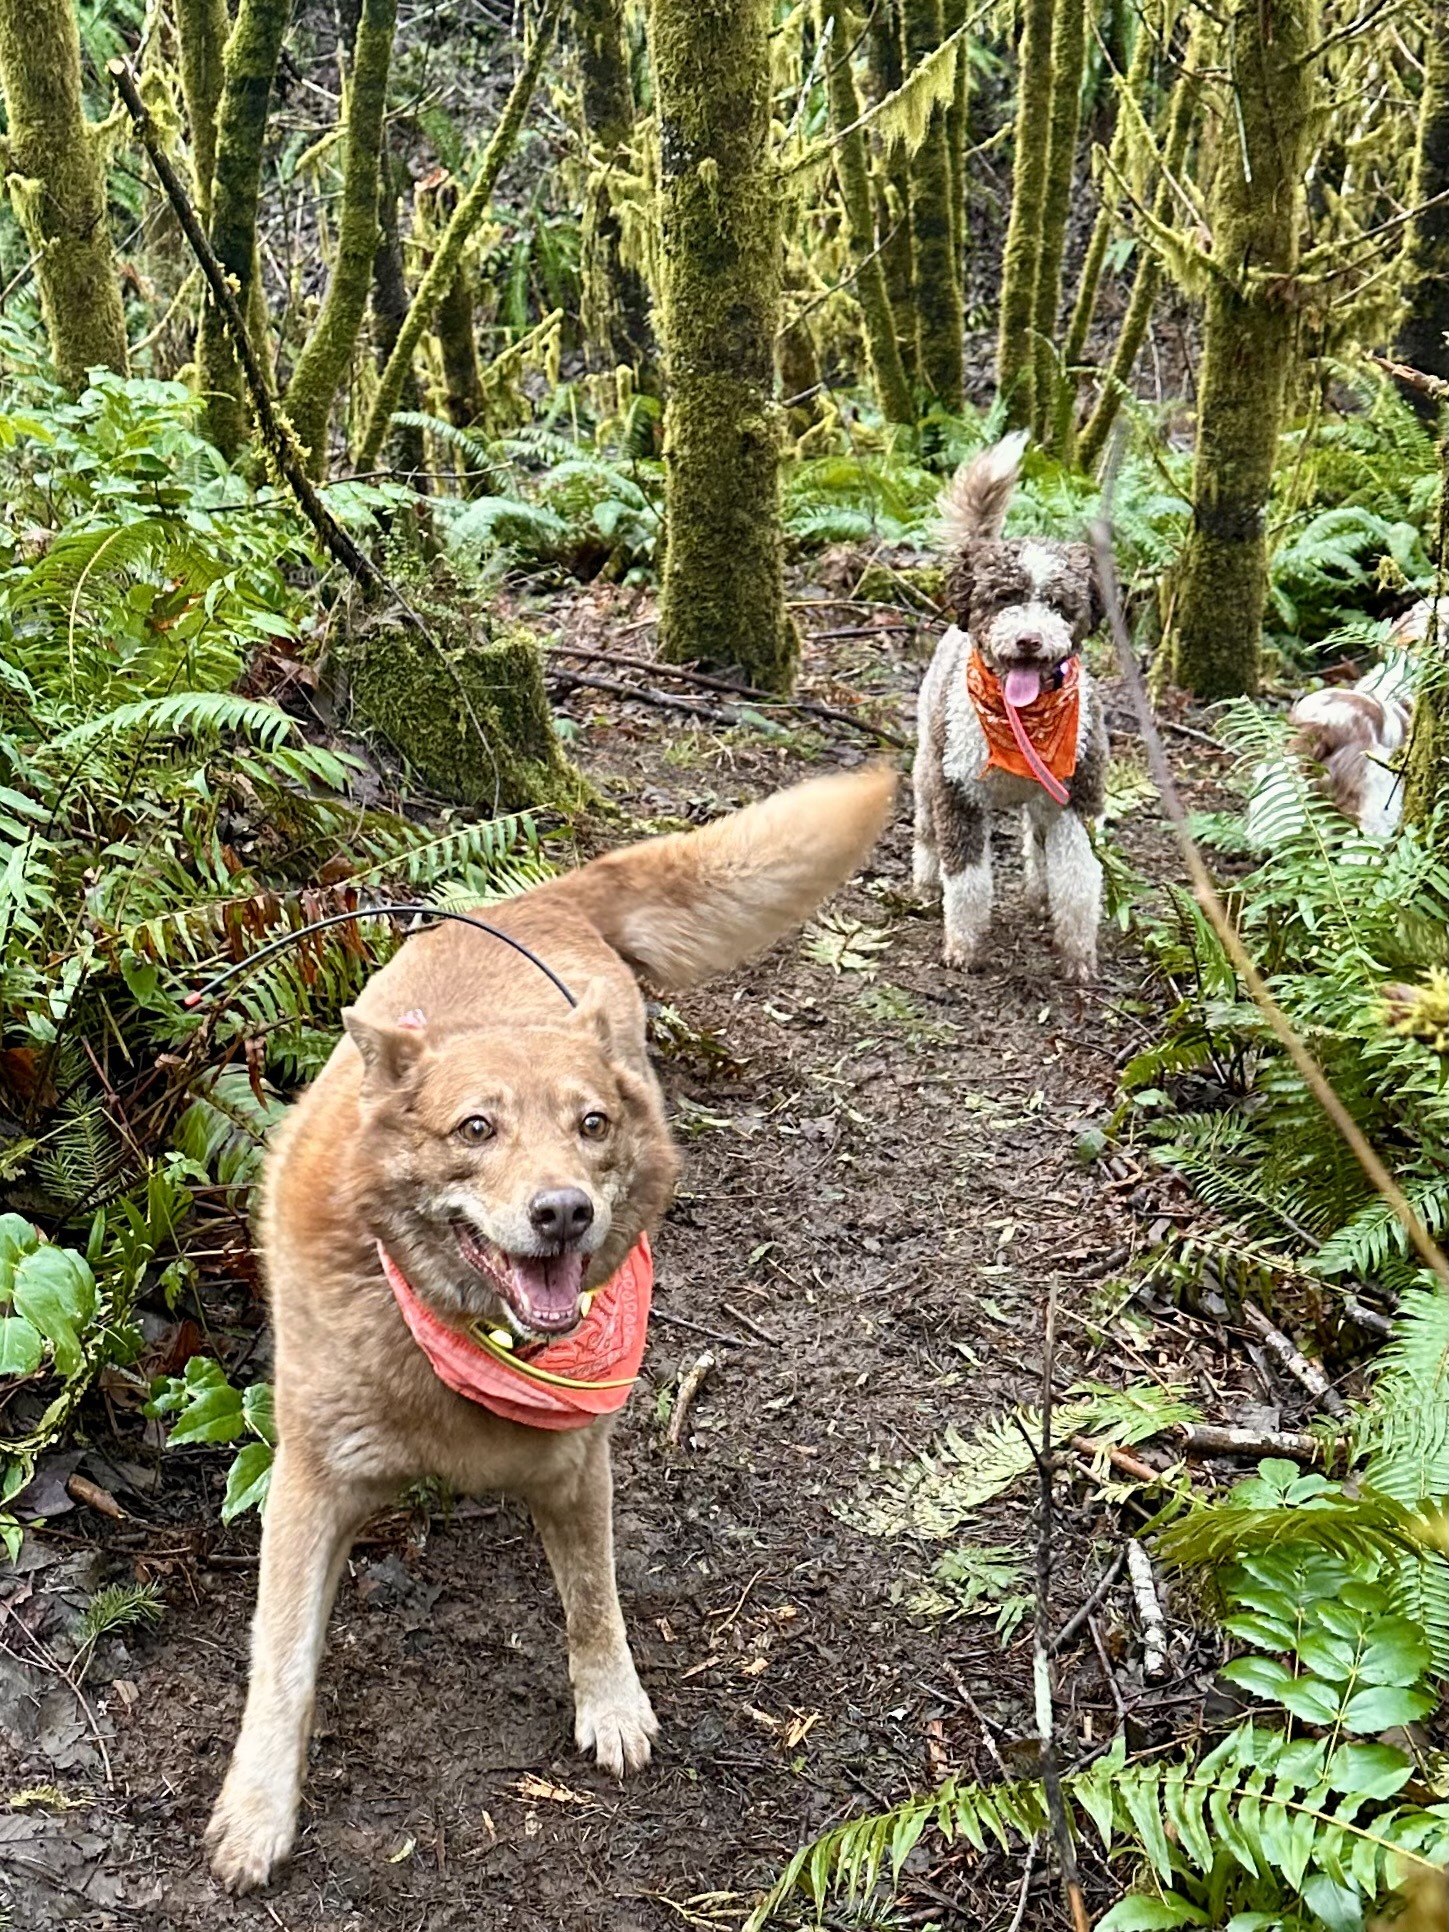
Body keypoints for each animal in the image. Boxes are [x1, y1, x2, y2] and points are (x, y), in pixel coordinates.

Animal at [204, 765, 896, 1885]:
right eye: (475, 1129)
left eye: (590, 1125)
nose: (564, 1211)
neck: (458, 1339)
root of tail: (545, 897)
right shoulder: (307, 1484)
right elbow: (283, 1659)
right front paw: (258, 1808)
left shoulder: (577, 1469)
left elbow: (593, 1599)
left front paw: (611, 1704)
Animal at [919, 438, 1112, 981]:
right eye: (1004, 597)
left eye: (1060, 605)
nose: (1029, 640)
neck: (1021, 720)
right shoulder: (956, 791)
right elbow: (966, 880)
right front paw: (963, 948)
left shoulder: (1075, 797)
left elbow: (1079, 878)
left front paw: (1078, 956)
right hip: (926, 761)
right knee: (924, 826)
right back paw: (924, 881)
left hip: (1043, 800)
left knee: (1037, 842)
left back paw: (1038, 893)